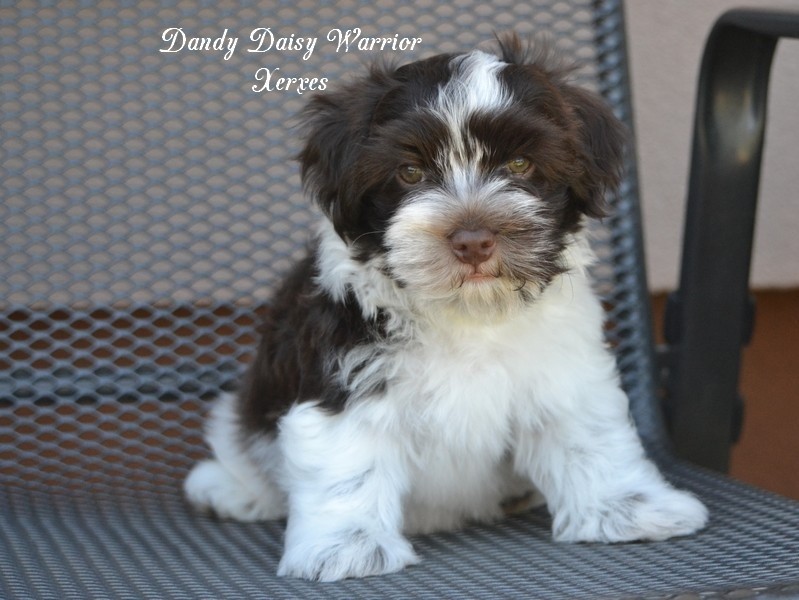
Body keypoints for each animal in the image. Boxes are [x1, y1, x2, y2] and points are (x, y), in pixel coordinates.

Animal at [184, 33, 708, 581]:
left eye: (519, 165)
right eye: (410, 172)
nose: (473, 240)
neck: (468, 312)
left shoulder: (565, 370)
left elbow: (590, 438)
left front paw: (628, 508)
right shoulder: (345, 375)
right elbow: (347, 464)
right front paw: (347, 547)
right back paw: (228, 490)